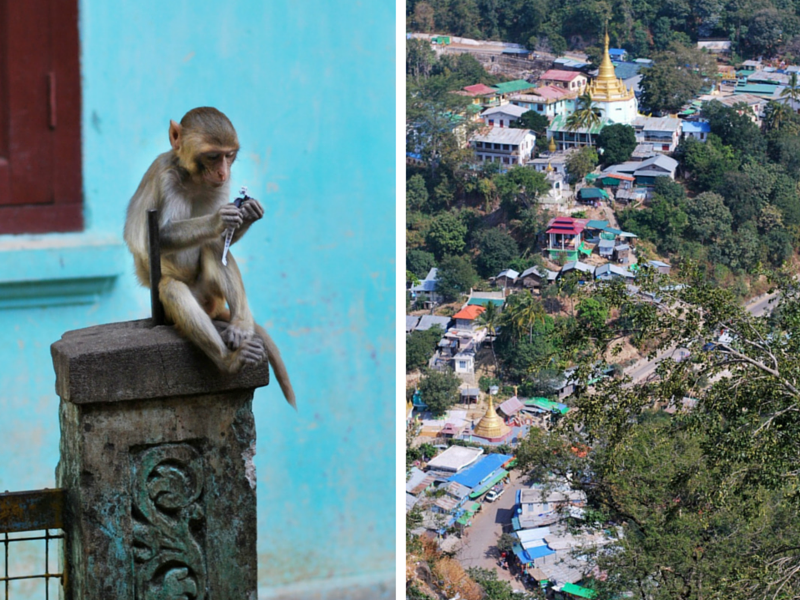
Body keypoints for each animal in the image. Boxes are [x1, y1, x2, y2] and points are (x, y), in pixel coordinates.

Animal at [125, 106, 296, 408]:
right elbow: (159, 236)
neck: (194, 179)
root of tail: (211, 307)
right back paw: (229, 362)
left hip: (211, 293)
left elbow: (220, 242)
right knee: (171, 287)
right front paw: (219, 219)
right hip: (173, 309)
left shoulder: (222, 187)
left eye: (229, 155)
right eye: (213, 155)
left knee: (213, 250)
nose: (223, 171)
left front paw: (248, 212)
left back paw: (241, 325)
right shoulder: (168, 179)